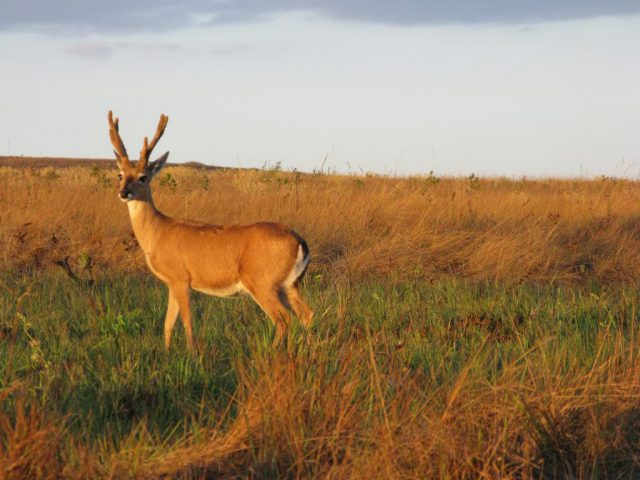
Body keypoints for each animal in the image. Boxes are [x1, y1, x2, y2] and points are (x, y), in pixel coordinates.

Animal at [107, 110, 312, 350]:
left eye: (143, 177)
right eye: (120, 175)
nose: (124, 193)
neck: (157, 232)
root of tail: (300, 242)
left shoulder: (181, 278)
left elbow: (186, 321)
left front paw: (192, 354)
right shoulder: (172, 283)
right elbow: (167, 323)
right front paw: (166, 353)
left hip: (262, 282)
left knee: (283, 319)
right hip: (290, 284)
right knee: (306, 315)